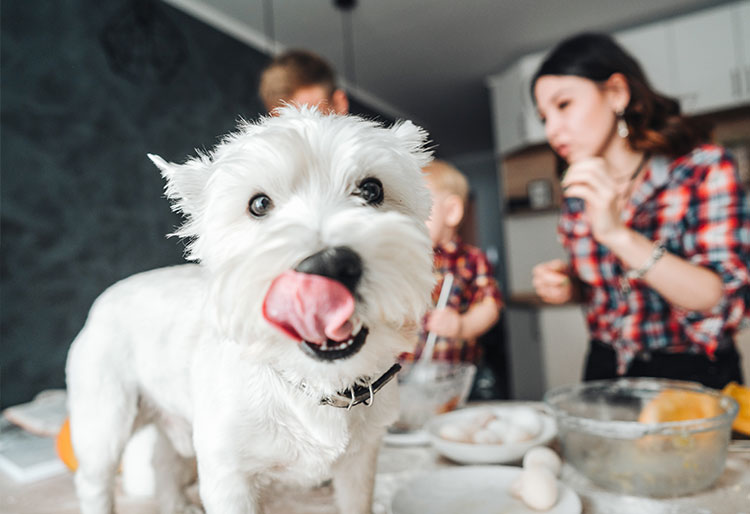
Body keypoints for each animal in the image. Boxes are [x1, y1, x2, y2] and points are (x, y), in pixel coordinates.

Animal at [67, 106, 438, 510]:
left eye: (372, 189)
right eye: (258, 204)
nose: (328, 266)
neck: (314, 383)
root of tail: (105, 298)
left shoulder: (360, 463)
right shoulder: (228, 476)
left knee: (164, 461)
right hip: (104, 421)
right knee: (94, 480)